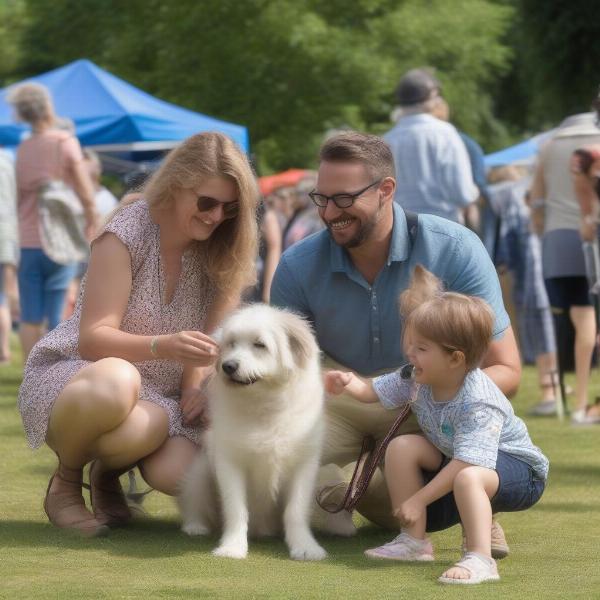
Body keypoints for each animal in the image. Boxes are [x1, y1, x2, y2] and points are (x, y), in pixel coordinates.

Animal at [179, 304, 328, 564]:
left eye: (260, 345)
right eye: (231, 343)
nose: (228, 366)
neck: (264, 404)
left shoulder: (304, 464)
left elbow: (295, 510)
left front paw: (305, 547)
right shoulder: (230, 463)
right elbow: (236, 509)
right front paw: (232, 548)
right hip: (200, 474)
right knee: (195, 502)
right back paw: (195, 526)